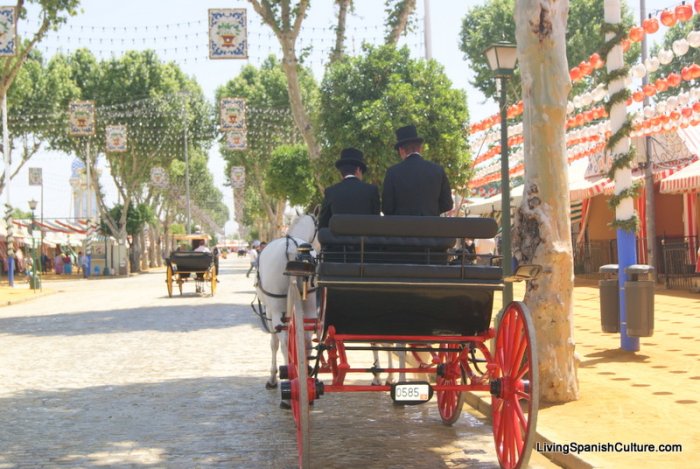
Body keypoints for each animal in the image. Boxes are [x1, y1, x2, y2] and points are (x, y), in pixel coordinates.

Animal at [254, 213, 318, 406]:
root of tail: (292, 250)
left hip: (276, 310)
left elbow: (274, 343)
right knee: (306, 342)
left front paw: (273, 378)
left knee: (284, 343)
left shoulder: (269, 311)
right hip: (309, 305)